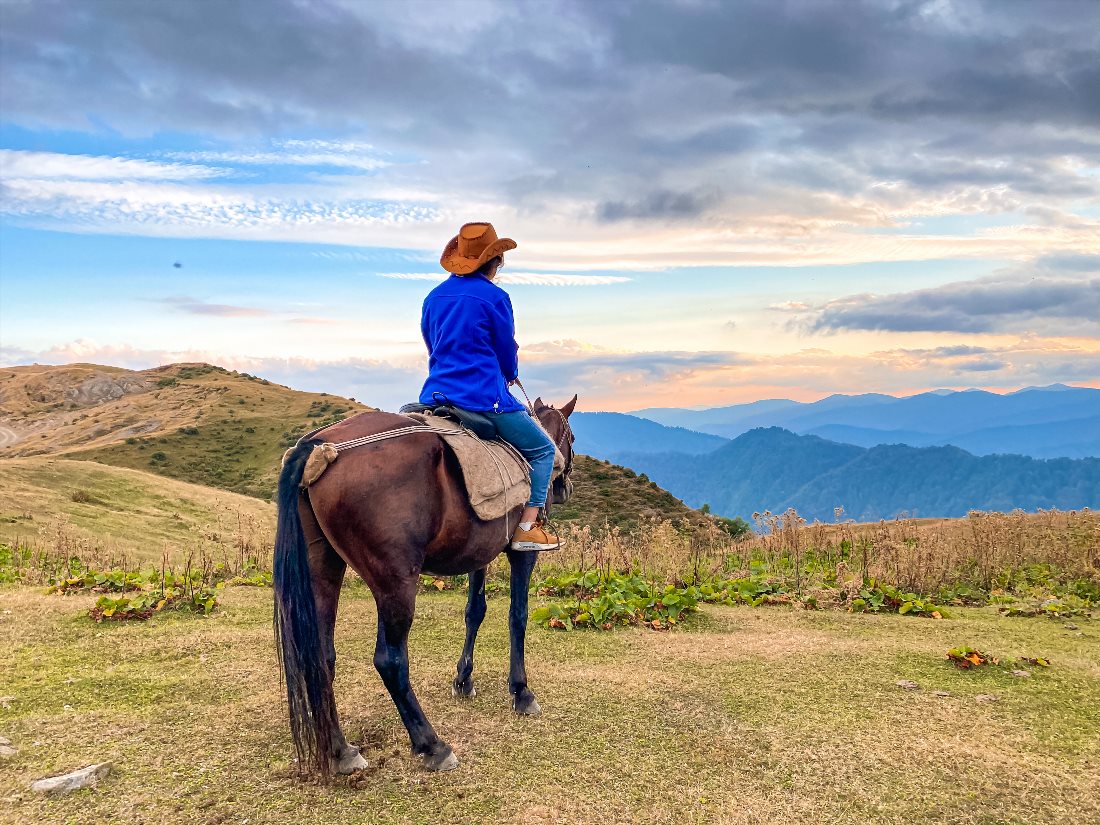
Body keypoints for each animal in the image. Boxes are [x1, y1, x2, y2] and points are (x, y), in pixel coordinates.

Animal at [272, 398, 576, 778]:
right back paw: (431, 744)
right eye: (571, 437)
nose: (566, 488)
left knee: (322, 657)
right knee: (389, 661)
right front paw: (521, 692)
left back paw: (340, 751)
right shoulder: (521, 553)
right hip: (395, 580)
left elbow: (474, 612)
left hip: (322, 566)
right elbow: (517, 616)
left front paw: (464, 680)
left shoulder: (479, 553)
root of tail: (317, 447)